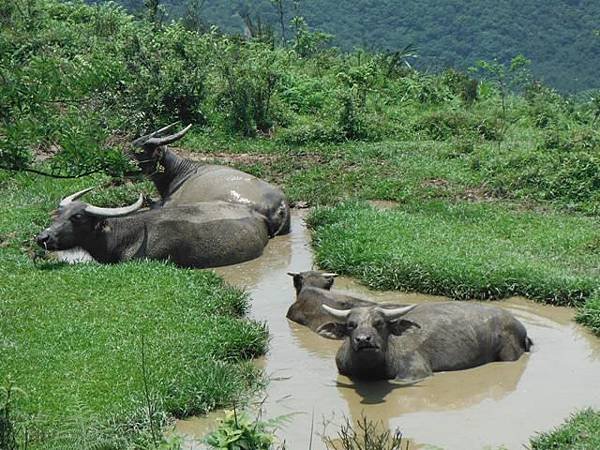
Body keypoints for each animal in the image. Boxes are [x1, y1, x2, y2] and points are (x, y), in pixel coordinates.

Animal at [316, 302, 532, 380]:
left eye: (379, 323)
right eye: (351, 325)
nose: (363, 340)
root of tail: (519, 325)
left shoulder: (415, 372)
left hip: (509, 353)